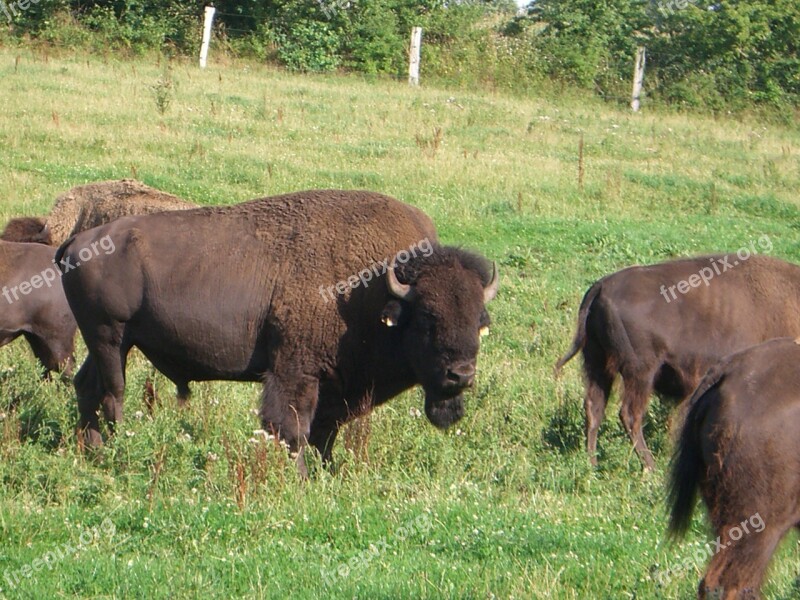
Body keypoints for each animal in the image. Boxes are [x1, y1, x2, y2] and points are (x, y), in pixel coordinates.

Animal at [59, 190, 500, 476]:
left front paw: (326, 472)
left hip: (108, 342)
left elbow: (324, 430)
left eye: (480, 320)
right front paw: (301, 476)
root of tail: (76, 241)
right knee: (113, 393)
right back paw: (115, 449)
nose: (461, 375)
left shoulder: (335, 385)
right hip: (110, 336)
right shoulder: (295, 371)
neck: (371, 288)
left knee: (87, 386)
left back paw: (90, 449)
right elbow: (293, 427)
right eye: (427, 317)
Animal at [552, 248, 800, 468]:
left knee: (594, 408)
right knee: (630, 414)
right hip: (640, 371)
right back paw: (649, 467)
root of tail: (601, 287)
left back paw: (592, 464)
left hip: (597, 363)